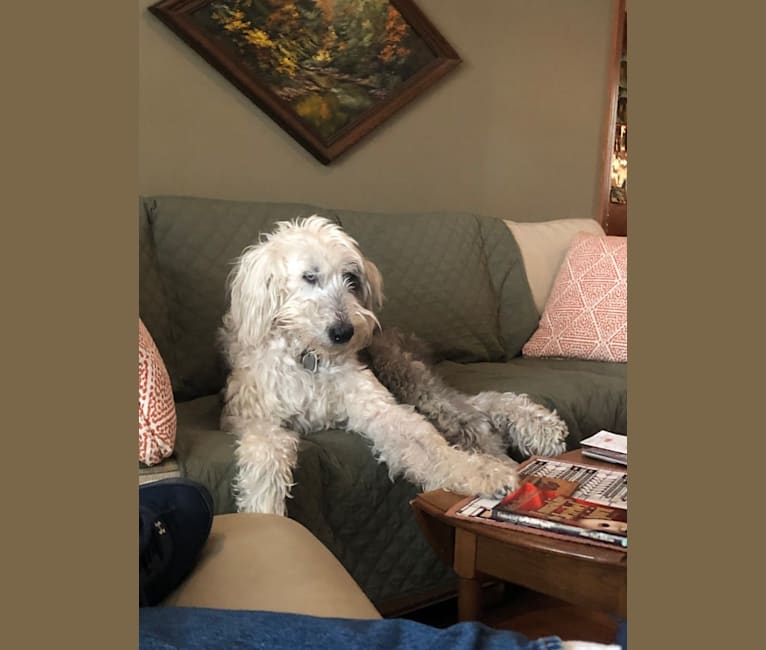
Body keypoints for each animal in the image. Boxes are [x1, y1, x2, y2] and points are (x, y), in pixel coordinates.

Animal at [219, 216, 568, 512]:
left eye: (351, 278)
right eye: (310, 276)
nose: (344, 332)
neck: (310, 357)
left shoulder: (379, 408)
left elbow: (427, 443)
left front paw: (483, 473)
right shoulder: (254, 418)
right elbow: (266, 455)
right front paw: (265, 514)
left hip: (407, 377)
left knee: (476, 411)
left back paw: (535, 431)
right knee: (476, 410)